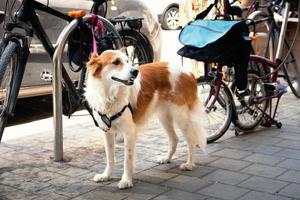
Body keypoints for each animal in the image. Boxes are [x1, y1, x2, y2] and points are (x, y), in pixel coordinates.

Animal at [84, 49, 206, 188]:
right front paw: (106, 176)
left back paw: (189, 164)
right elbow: (110, 157)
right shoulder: (107, 132)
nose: (135, 72)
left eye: (127, 61)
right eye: (116, 62)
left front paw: (126, 180)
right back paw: (167, 158)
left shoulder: (129, 133)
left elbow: (127, 160)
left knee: (191, 140)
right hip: (164, 116)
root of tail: (188, 72)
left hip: (181, 116)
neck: (109, 94)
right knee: (174, 139)